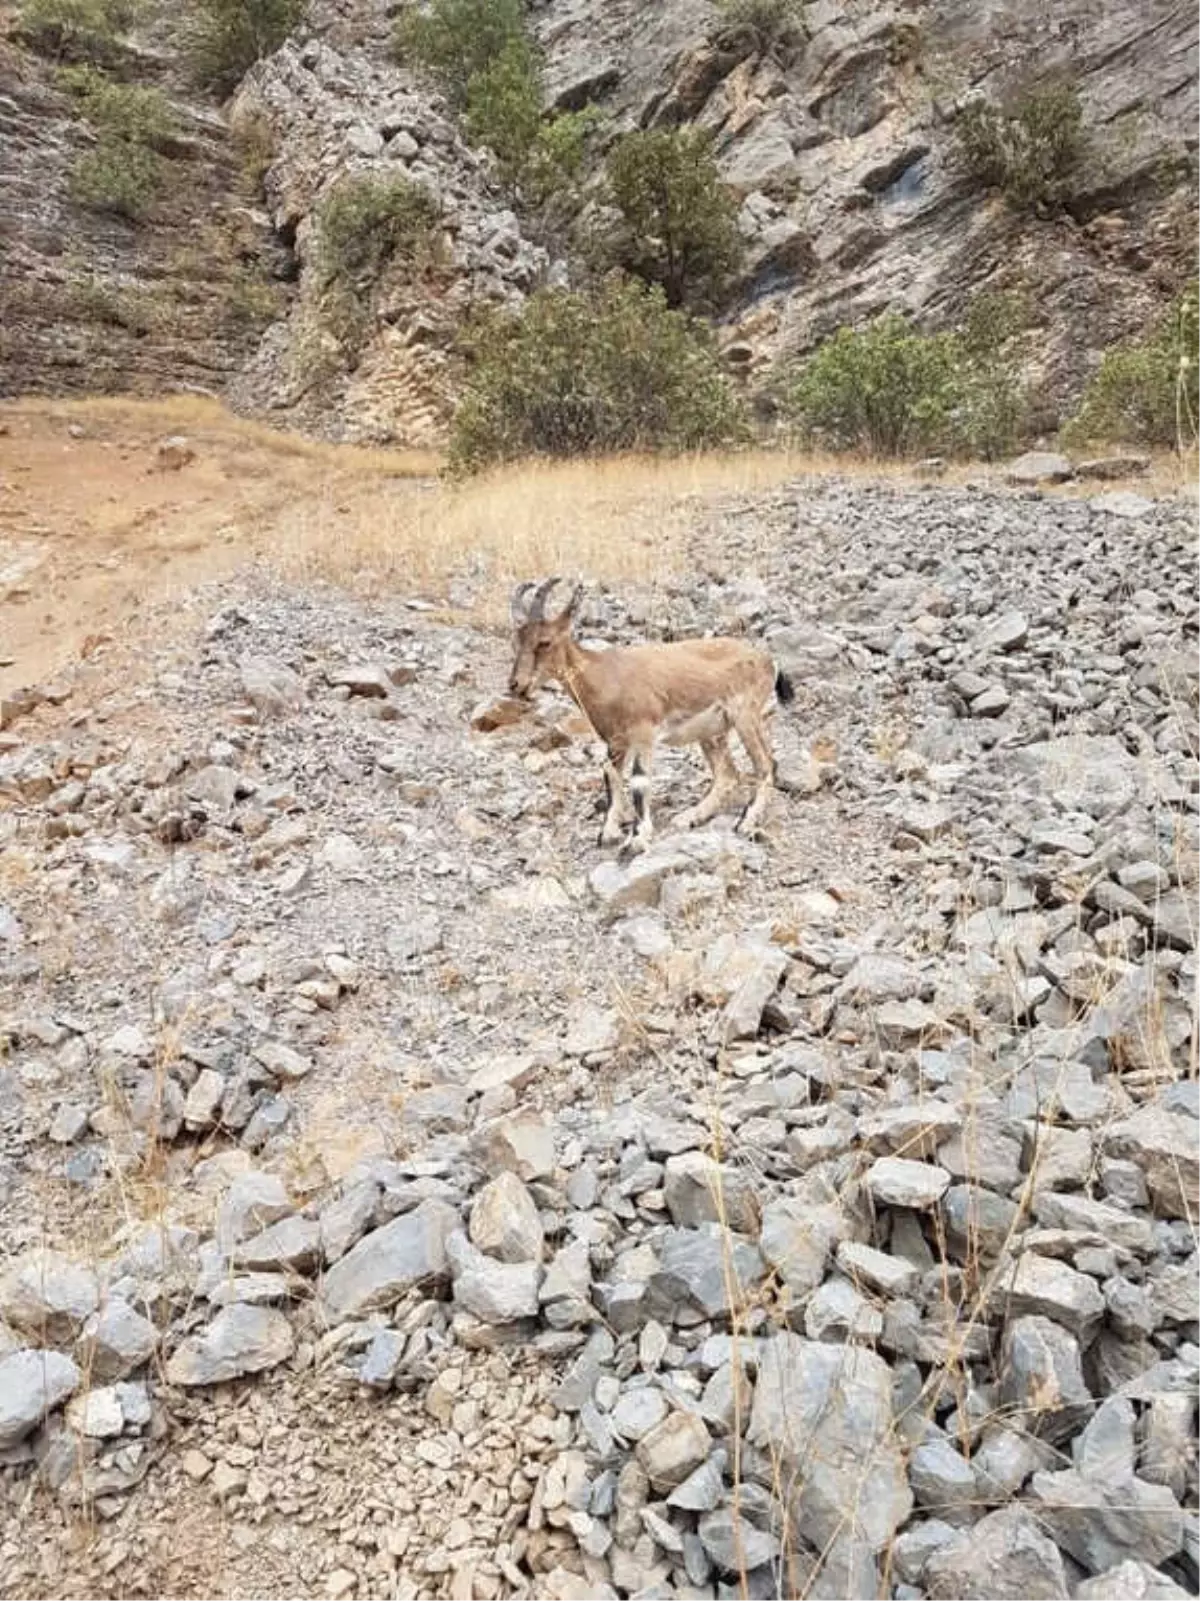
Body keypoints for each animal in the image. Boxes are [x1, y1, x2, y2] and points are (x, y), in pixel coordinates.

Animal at [508, 576, 800, 851]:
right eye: (517, 641)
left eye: (544, 642)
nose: (516, 685)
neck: (605, 675)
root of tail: (768, 660)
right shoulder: (616, 742)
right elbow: (610, 777)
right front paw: (608, 833)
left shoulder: (644, 733)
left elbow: (639, 780)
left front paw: (637, 838)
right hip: (712, 731)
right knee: (727, 774)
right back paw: (690, 817)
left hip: (745, 717)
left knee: (766, 764)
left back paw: (745, 822)